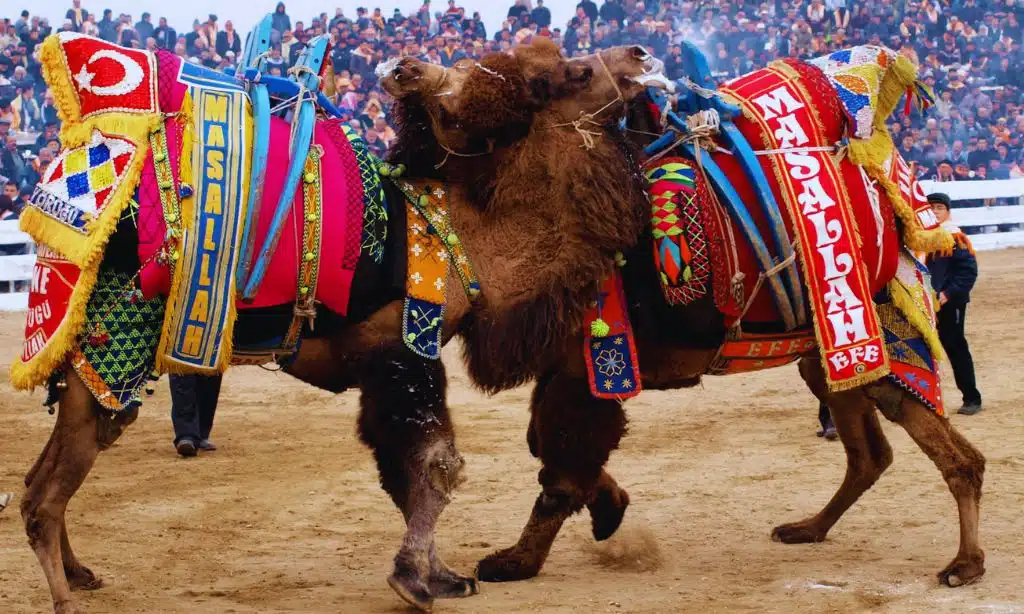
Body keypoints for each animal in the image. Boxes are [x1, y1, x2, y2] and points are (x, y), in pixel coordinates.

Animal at [16, 40, 670, 613]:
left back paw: (81, 572)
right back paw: (65, 597)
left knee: (38, 480)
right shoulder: (402, 352)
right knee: (45, 494)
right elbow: (436, 466)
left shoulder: (387, 368)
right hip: (113, 343)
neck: (459, 235)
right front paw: (415, 582)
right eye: (573, 72)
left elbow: (405, 474)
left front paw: (443, 575)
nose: (641, 55)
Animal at [382, 50, 987, 589]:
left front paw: (514, 562)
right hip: (828, 357)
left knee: (958, 457)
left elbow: (559, 467)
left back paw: (965, 564)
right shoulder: (567, 367)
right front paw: (609, 509)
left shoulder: (590, 367)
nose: (402, 68)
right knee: (869, 455)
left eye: (458, 88)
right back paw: (808, 528)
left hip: (882, 338)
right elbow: (546, 447)